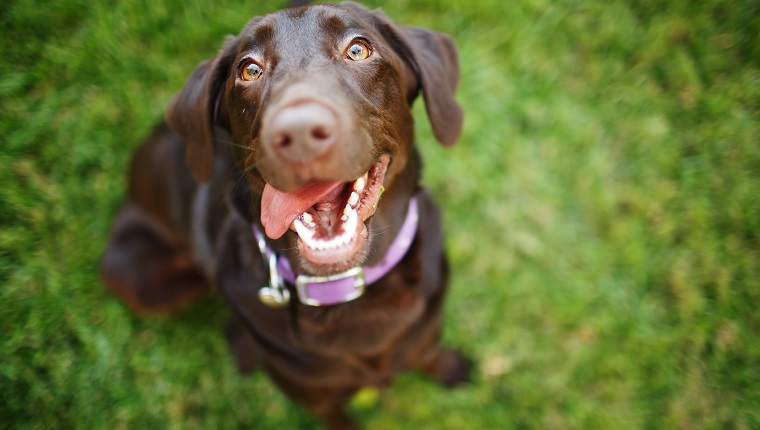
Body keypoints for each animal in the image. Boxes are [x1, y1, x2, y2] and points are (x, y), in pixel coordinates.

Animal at [101, 2, 470, 426]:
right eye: (249, 70)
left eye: (358, 49)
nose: (299, 132)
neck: (345, 291)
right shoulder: (318, 401)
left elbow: (427, 352)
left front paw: (448, 367)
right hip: (140, 276)